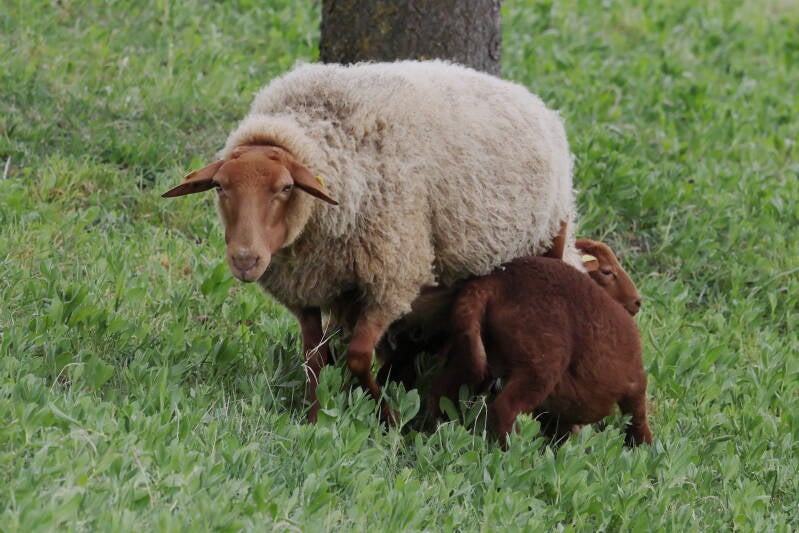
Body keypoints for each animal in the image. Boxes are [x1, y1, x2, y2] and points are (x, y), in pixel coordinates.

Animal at [162, 60, 581, 421]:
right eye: (220, 187)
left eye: (285, 188)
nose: (245, 260)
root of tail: (538, 102)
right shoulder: (304, 289)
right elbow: (315, 358)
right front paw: (316, 416)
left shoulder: (392, 277)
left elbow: (358, 355)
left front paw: (387, 415)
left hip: (543, 245)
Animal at [429, 244, 651, 448]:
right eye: (607, 271)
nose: (637, 302)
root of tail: (492, 284)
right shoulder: (634, 378)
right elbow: (638, 415)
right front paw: (644, 447)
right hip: (541, 361)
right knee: (505, 408)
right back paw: (516, 448)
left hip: (470, 349)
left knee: (442, 389)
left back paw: (434, 431)